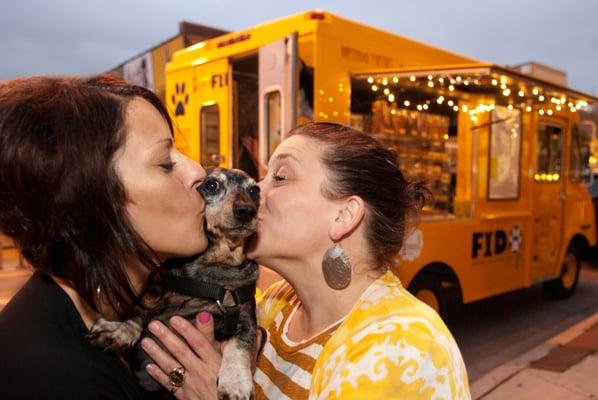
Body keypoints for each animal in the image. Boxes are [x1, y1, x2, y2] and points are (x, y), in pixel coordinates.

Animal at [91, 168, 262, 400]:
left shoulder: (245, 316)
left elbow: (240, 345)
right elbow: (138, 311)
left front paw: (235, 382)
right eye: (211, 185)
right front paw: (119, 329)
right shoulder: (153, 289)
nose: (247, 211)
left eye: (254, 190)